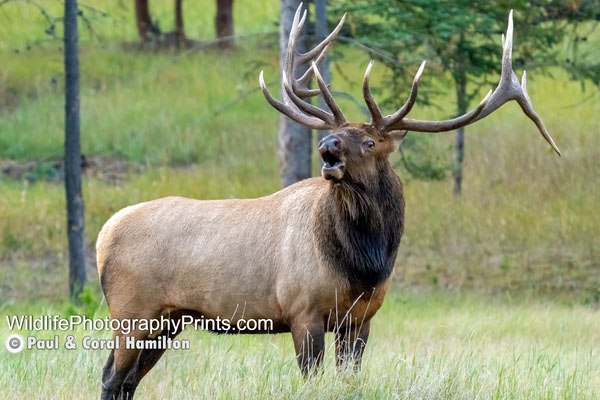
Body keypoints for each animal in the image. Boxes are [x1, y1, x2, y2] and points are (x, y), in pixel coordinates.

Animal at [96, 4, 560, 398]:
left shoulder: (361, 319)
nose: (327, 145)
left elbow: (349, 382)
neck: (364, 264)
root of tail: (103, 235)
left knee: (126, 380)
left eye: (370, 141)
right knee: (112, 377)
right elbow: (313, 383)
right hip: (132, 312)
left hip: (168, 319)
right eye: (339, 134)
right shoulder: (303, 311)